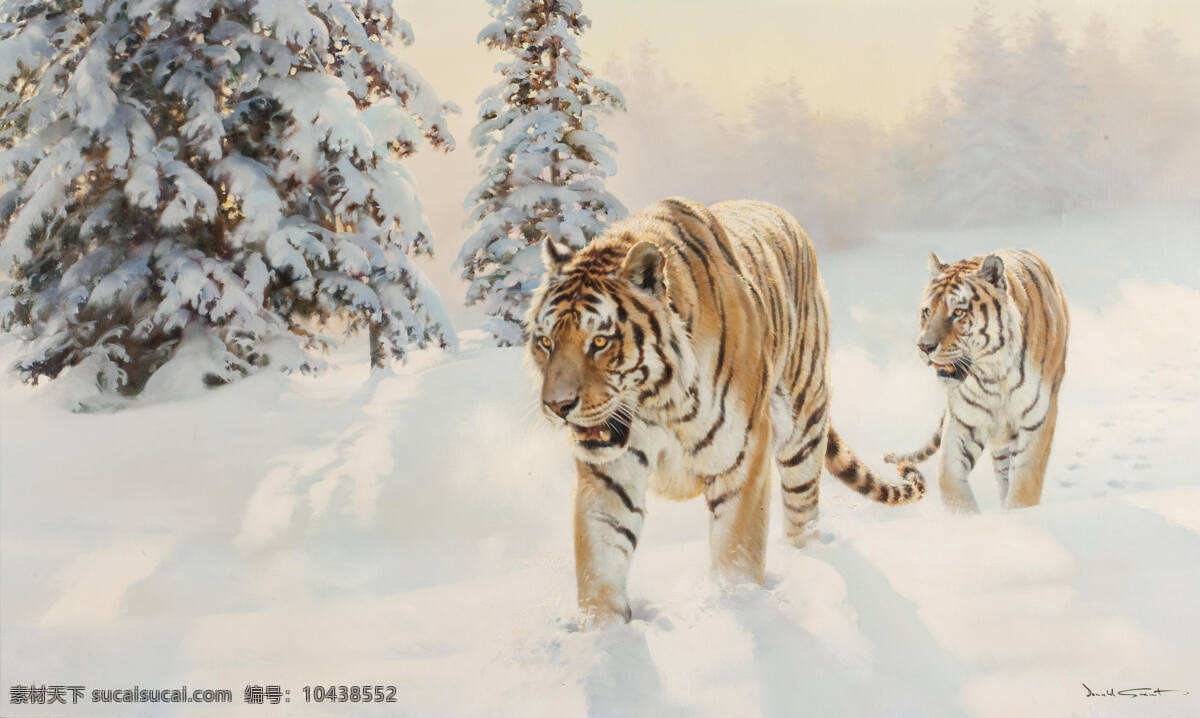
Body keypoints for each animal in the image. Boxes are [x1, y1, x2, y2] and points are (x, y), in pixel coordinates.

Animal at [527, 197, 925, 625]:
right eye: (546, 342)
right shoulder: (609, 477)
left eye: (600, 342)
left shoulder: (741, 458)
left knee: (803, 511)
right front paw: (604, 633)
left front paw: (739, 606)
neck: (657, 404)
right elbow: (599, 561)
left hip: (804, 427)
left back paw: (807, 564)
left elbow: (737, 549)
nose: (558, 406)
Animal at [884, 250, 1069, 512]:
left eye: (958, 312)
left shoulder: (1037, 422)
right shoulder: (964, 422)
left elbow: (1024, 487)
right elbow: (949, 481)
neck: (994, 374)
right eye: (927, 312)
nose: (924, 346)